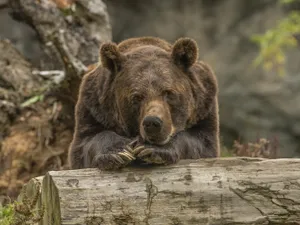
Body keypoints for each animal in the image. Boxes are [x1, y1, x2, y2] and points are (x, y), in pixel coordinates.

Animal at [68, 36, 220, 170]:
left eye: (168, 92)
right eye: (136, 97)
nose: (152, 122)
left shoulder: (204, 106)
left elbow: (201, 141)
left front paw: (152, 149)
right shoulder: (94, 107)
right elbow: (86, 142)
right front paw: (119, 152)